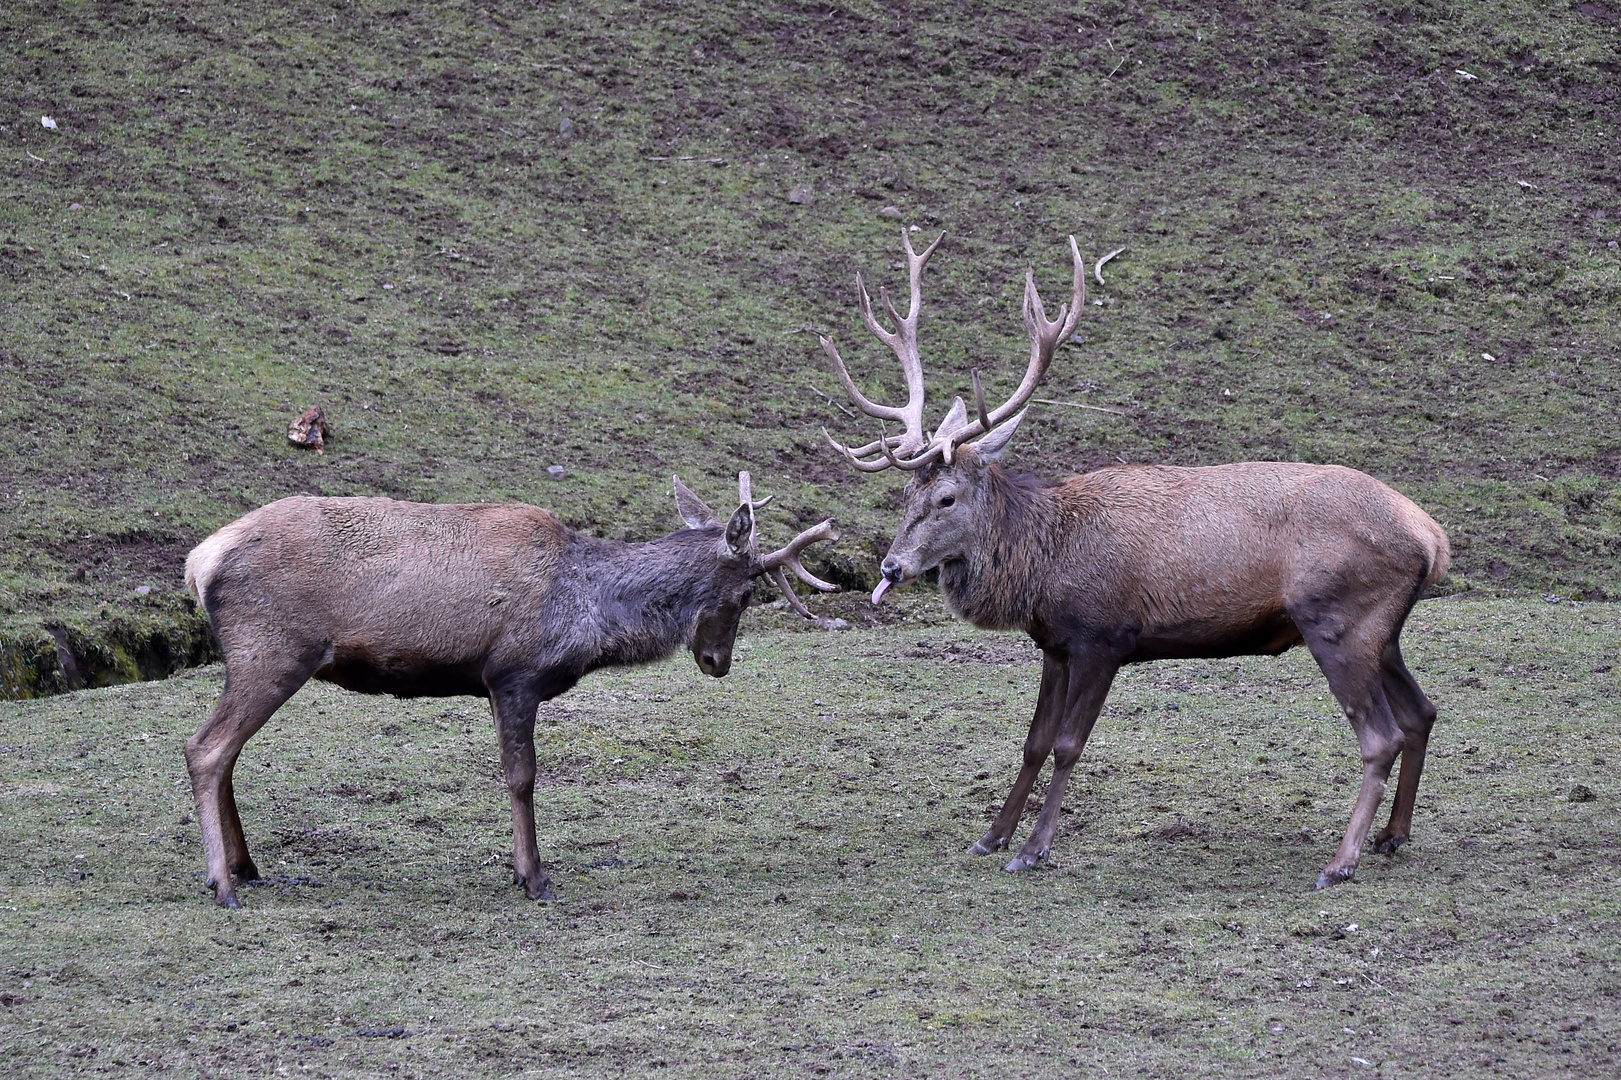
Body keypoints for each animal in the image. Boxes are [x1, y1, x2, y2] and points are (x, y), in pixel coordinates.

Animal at [185, 476, 842, 901]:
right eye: (749, 592)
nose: (716, 662)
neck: (589, 612)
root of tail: (198, 561)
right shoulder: (513, 674)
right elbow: (522, 778)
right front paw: (535, 878)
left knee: (226, 752)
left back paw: (247, 867)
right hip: (272, 649)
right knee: (206, 748)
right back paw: (223, 883)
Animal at [823, 231, 1445, 888]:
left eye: (946, 497)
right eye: (905, 493)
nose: (890, 568)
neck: (1043, 564)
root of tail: (1432, 536)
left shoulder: (1105, 637)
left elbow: (1068, 745)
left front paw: (1034, 848)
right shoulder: (1056, 645)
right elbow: (1033, 742)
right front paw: (991, 837)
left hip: (1335, 619)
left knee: (1380, 737)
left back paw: (1340, 861)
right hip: (1382, 633)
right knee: (1422, 713)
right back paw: (1392, 836)